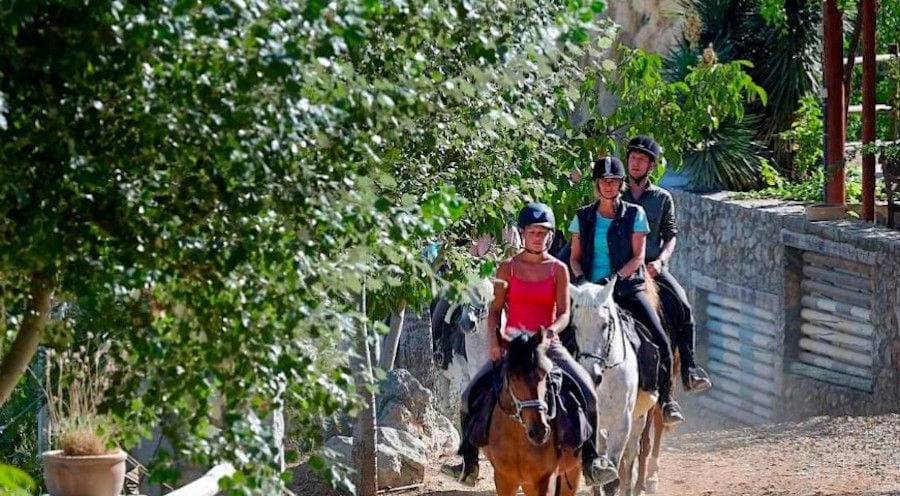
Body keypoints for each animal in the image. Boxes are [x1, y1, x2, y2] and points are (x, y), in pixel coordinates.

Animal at [486, 330, 584, 496]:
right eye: (513, 376)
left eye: (544, 374)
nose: (539, 432)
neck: (518, 439)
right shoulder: (503, 479)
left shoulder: (546, 479)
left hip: (572, 472)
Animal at [572, 280, 656, 494]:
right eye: (575, 326)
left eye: (604, 325)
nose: (590, 373)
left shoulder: (622, 423)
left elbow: (613, 479)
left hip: (639, 419)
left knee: (632, 454)